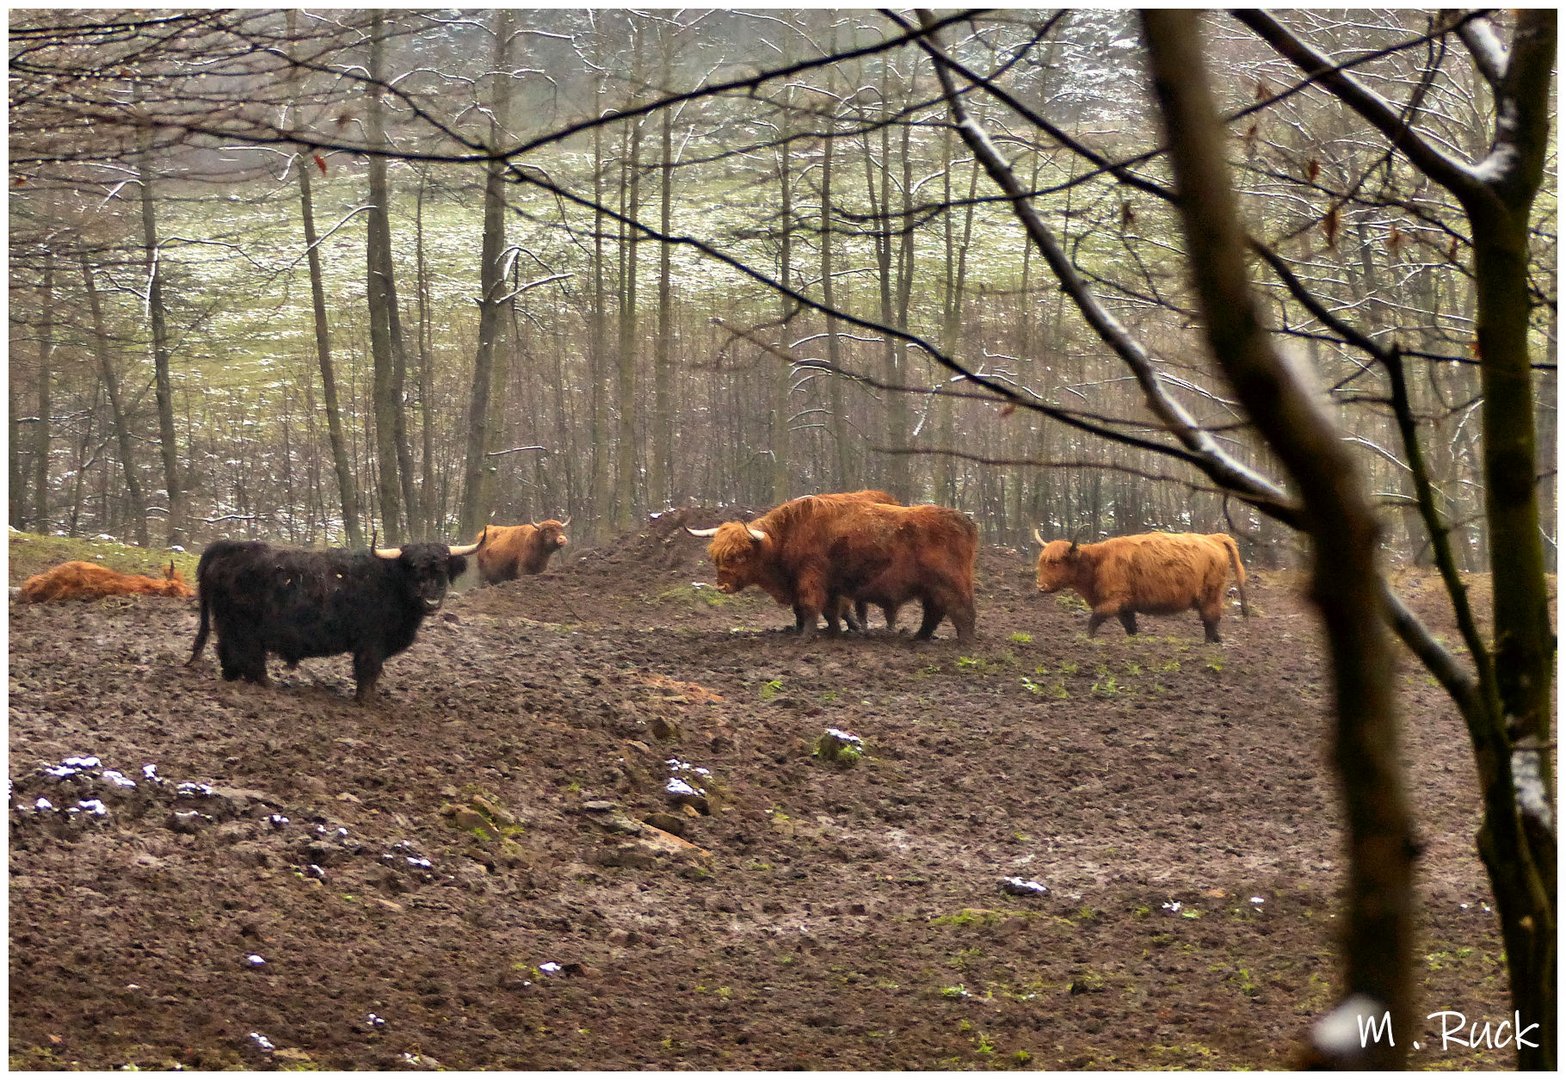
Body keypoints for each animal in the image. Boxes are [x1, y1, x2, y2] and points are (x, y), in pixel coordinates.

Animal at [184, 535, 479, 701]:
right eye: (413, 569)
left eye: (442, 571)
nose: (431, 600)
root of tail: (228, 547)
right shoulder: (371, 642)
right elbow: (368, 670)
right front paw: (366, 701)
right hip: (243, 627)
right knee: (248, 657)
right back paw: (267, 685)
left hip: (228, 624)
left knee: (228, 652)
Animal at [689, 494, 970, 638]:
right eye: (716, 556)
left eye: (741, 554)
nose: (723, 586)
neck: (787, 534)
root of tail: (962, 520)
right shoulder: (828, 586)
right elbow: (827, 611)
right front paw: (832, 632)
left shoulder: (810, 578)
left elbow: (811, 606)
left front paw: (806, 636)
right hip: (932, 589)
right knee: (934, 613)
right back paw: (919, 638)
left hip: (951, 585)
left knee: (961, 612)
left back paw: (962, 642)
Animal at [1033, 529, 1252, 638]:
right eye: (1042, 562)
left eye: (1055, 562)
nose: (1040, 586)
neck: (1098, 562)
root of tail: (1214, 538)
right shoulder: (1125, 607)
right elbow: (1131, 628)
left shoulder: (1114, 600)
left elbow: (1093, 621)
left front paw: (1087, 639)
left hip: (1210, 595)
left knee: (1211, 623)